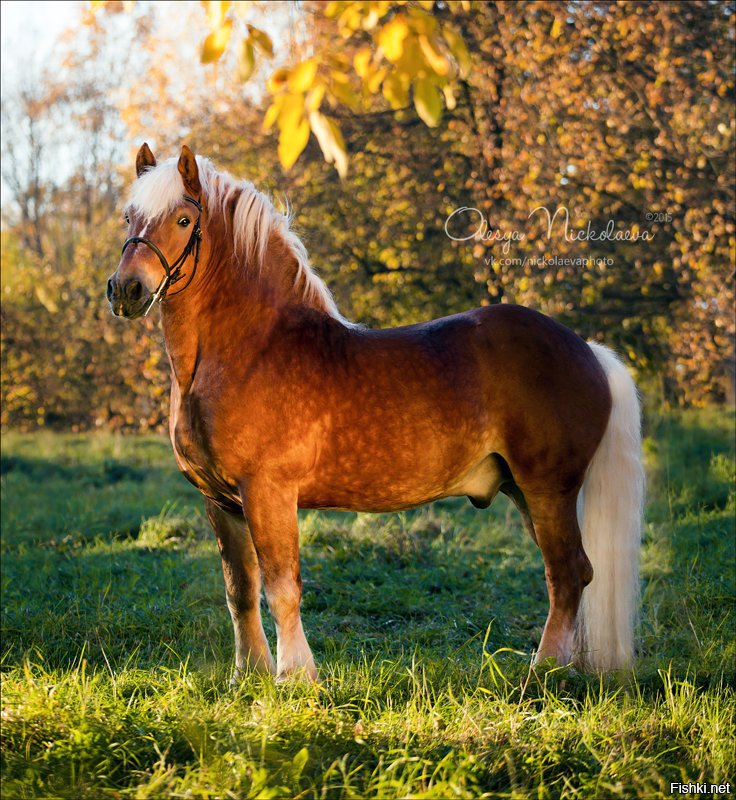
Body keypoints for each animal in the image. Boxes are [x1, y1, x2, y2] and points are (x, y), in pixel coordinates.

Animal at [107, 143, 645, 681]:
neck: (251, 348)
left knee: (566, 573)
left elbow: (282, 587)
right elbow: (241, 592)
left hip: (547, 489)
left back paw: (544, 670)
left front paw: (296, 677)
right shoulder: (221, 502)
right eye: (129, 217)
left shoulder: (268, 492)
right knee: (579, 572)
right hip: (523, 491)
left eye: (182, 219)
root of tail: (588, 350)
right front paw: (249, 675)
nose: (126, 290)